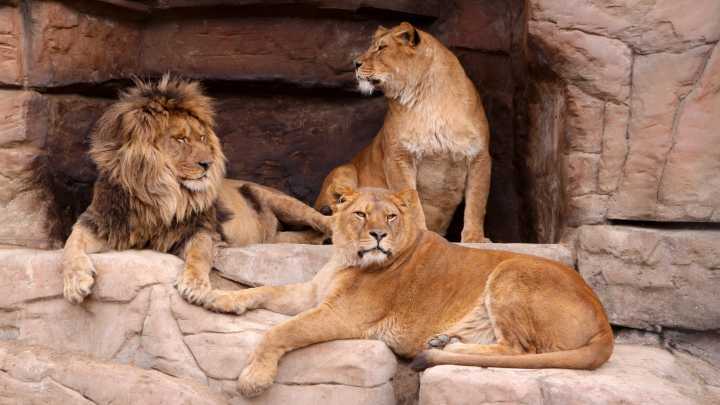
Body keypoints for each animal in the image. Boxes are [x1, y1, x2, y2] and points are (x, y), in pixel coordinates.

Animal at [62, 75, 332, 305]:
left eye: (202, 138)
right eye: (180, 139)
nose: (208, 164)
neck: (159, 194)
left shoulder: (200, 229)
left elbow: (199, 254)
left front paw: (194, 285)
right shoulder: (98, 221)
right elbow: (70, 245)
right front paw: (75, 283)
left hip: (282, 201)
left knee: (323, 221)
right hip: (274, 236)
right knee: (304, 236)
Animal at [204, 187, 614, 397]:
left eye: (390, 216)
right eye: (360, 214)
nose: (378, 235)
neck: (345, 257)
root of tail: (604, 323)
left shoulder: (343, 316)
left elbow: (280, 331)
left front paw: (254, 379)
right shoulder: (311, 294)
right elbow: (265, 288)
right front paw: (219, 299)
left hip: (511, 271)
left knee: (521, 349)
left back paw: (448, 348)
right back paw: (446, 341)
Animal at [315, 22, 492, 242]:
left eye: (381, 48)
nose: (355, 63)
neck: (429, 100)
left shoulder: (479, 156)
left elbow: (477, 202)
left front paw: (475, 238)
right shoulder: (398, 157)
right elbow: (412, 202)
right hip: (343, 170)